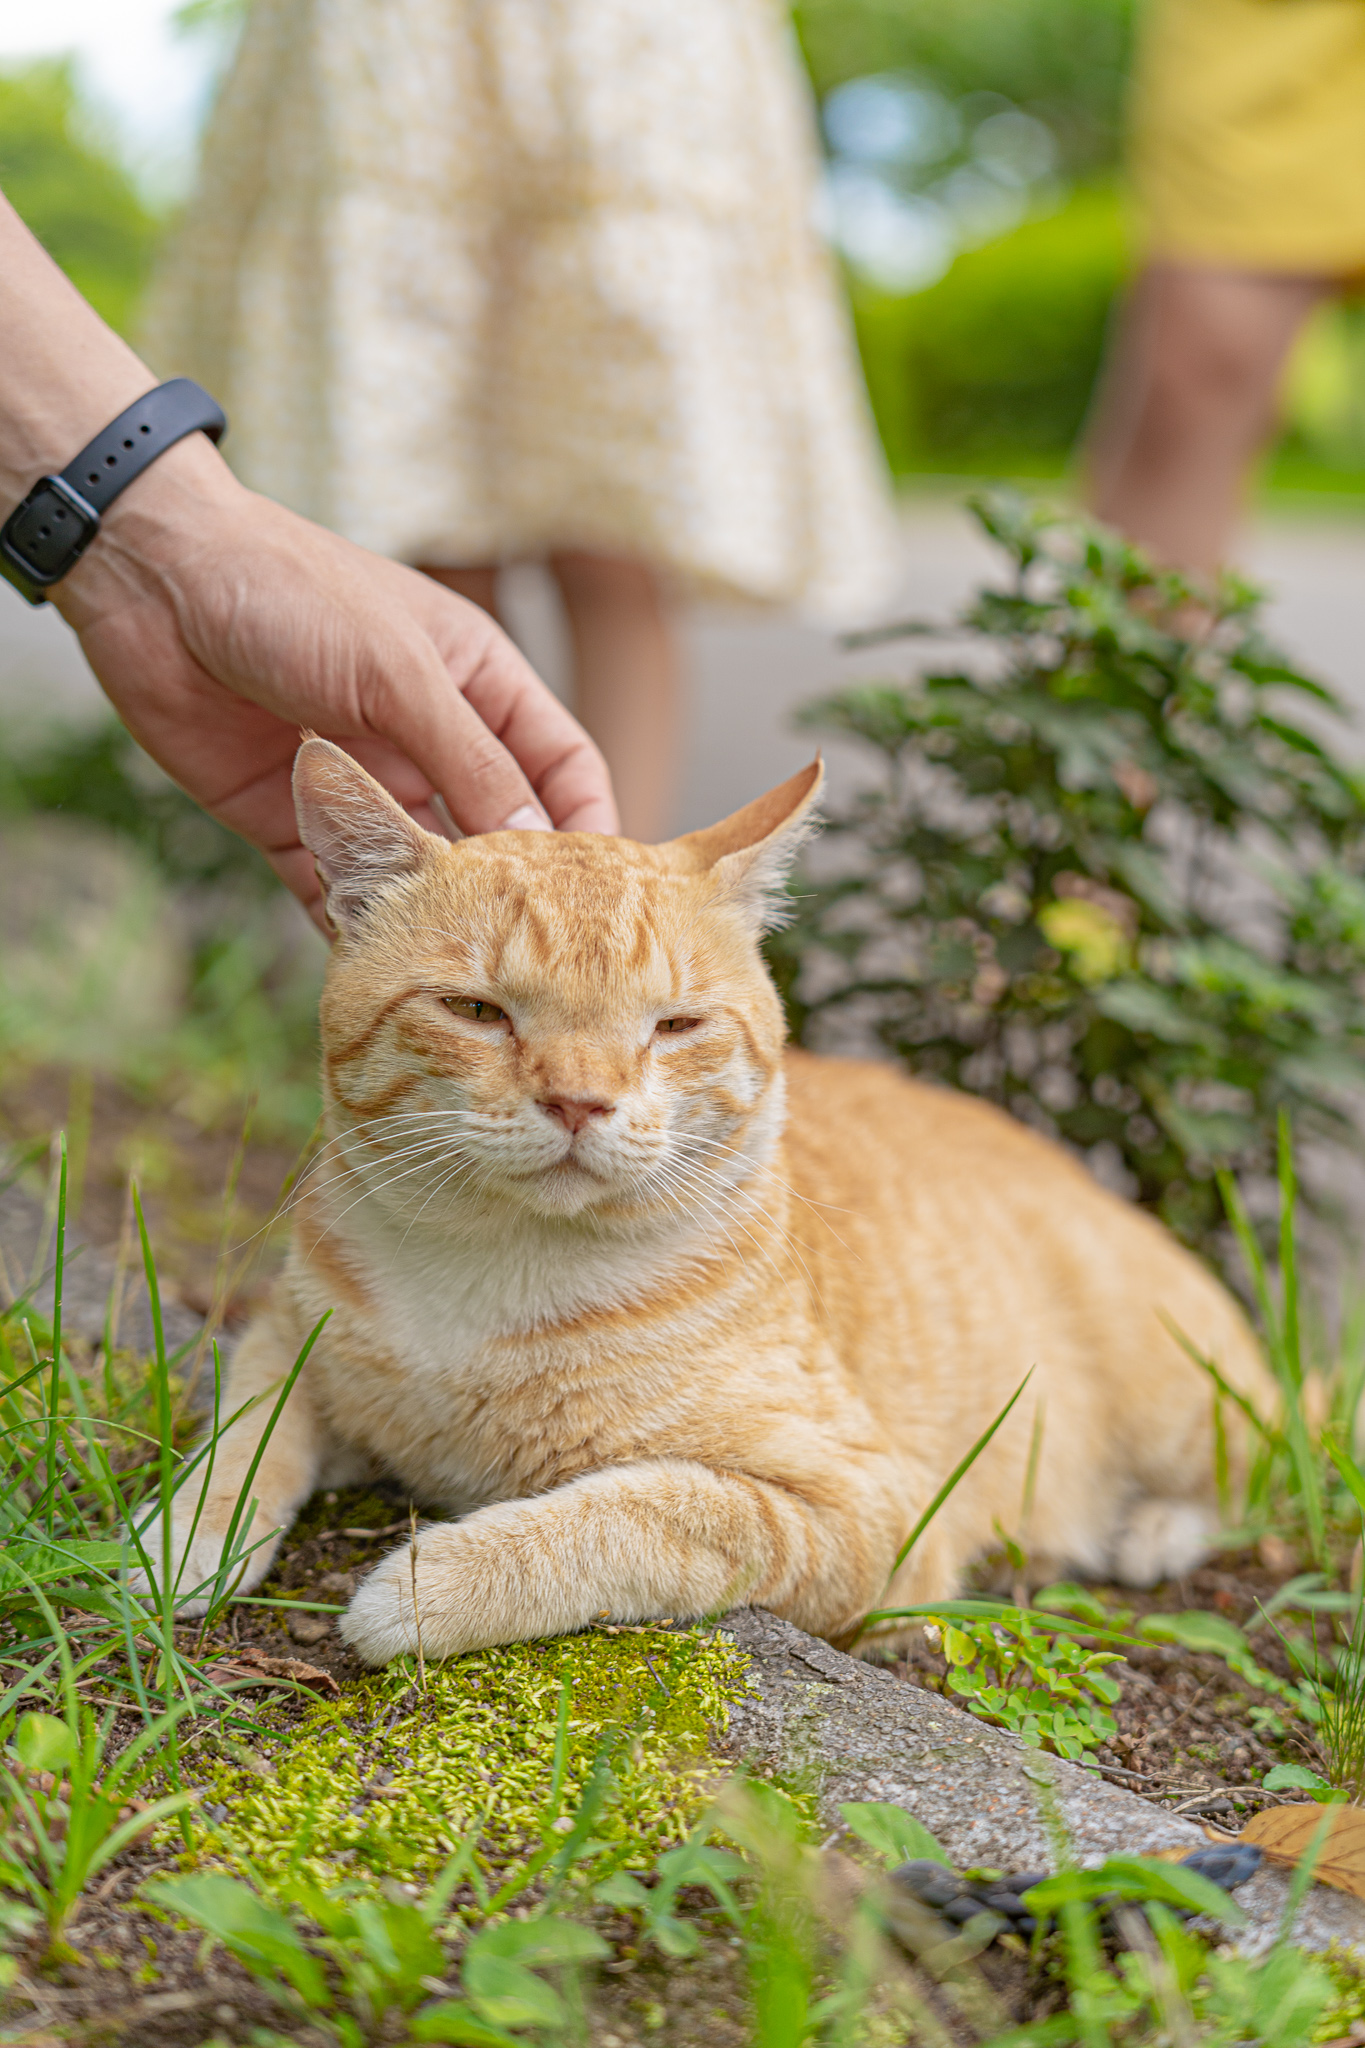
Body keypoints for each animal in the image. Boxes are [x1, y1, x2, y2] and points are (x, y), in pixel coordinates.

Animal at [149, 737, 1268, 1662]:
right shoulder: (288, 1330)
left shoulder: (864, 1512)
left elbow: (638, 1512)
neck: (490, 1280)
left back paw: (1151, 1529)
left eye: (675, 1024)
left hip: (1180, 1404)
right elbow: (247, 1430)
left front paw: (431, 1584)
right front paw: (183, 1537)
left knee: (1258, 1469)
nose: (579, 1100)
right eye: (477, 1010)